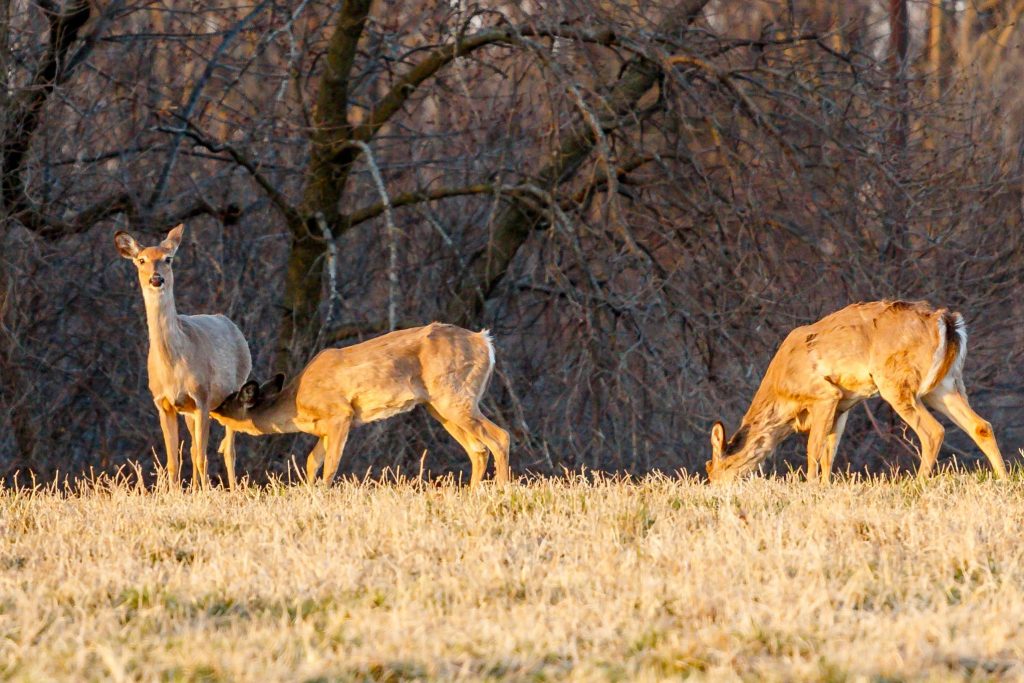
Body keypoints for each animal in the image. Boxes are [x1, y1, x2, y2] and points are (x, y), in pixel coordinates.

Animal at [114, 227, 251, 489]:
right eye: (141, 260)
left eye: (168, 259)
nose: (156, 279)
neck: (173, 366)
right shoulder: (163, 403)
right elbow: (173, 461)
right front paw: (177, 493)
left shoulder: (202, 398)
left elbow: (202, 457)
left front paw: (206, 493)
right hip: (190, 412)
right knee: (195, 448)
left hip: (235, 390)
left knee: (228, 450)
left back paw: (233, 489)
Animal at [211, 325, 512, 485]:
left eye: (228, 401)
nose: (212, 407)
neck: (296, 405)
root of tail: (485, 342)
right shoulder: (324, 428)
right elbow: (312, 461)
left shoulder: (341, 415)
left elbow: (331, 465)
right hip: (439, 406)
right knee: (478, 449)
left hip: (454, 395)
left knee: (500, 437)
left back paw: (501, 491)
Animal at [708, 301, 1003, 485]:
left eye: (711, 468)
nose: (714, 487)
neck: (782, 398)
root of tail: (946, 321)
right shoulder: (843, 405)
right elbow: (830, 451)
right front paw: (824, 486)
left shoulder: (824, 394)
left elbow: (813, 448)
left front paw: (810, 486)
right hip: (945, 385)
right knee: (981, 425)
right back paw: (1002, 477)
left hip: (896, 382)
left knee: (933, 431)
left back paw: (918, 483)